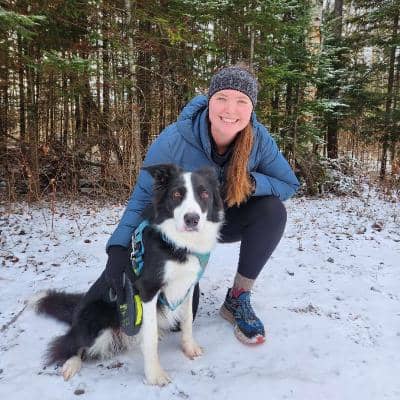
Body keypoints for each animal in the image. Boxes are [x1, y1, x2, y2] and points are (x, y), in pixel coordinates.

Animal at [33, 164, 224, 386]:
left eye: (204, 194)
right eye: (177, 194)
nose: (192, 220)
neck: (177, 243)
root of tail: (77, 312)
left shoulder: (188, 285)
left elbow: (186, 320)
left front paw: (189, 347)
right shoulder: (147, 289)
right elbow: (150, 338)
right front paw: (154, 374)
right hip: (96, 318)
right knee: (71, 343)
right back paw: (71, 363)